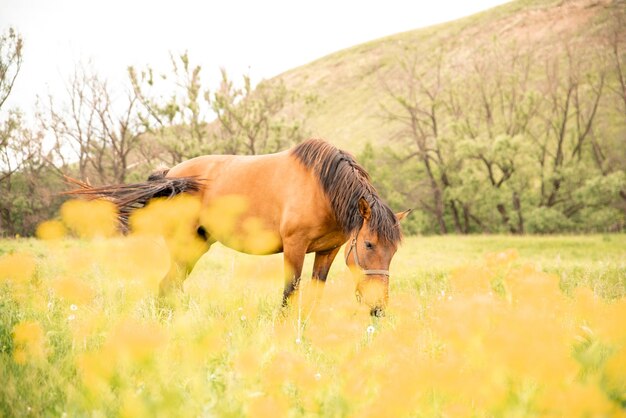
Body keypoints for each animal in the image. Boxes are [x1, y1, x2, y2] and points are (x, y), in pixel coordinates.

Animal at [67, 139, 410, 316]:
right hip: (183, 246)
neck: (321, 187)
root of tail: (170, 176)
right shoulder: (294, 247)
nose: (379, 308)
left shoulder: (328, 250)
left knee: (170, 286)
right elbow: (290, 292)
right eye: (368, 244)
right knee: (168, 285)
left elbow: (314, 294)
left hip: (196, 247)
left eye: (394, 251)